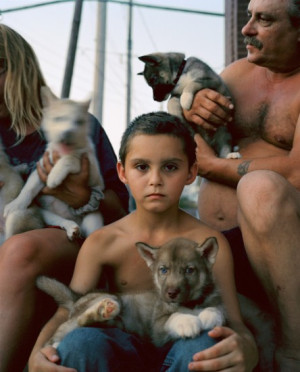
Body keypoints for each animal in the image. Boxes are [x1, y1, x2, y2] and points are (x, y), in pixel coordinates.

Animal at [36, 237, 225, 348]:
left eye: (189, 270)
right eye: (164, 270)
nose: (171, 293)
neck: (190, 303)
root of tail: (78, 297)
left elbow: (217, 309)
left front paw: (210, 315)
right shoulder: (157, 329)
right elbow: (174, 316)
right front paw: (188, 321)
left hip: (117, 324)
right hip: (109, 297)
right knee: (68, 329)